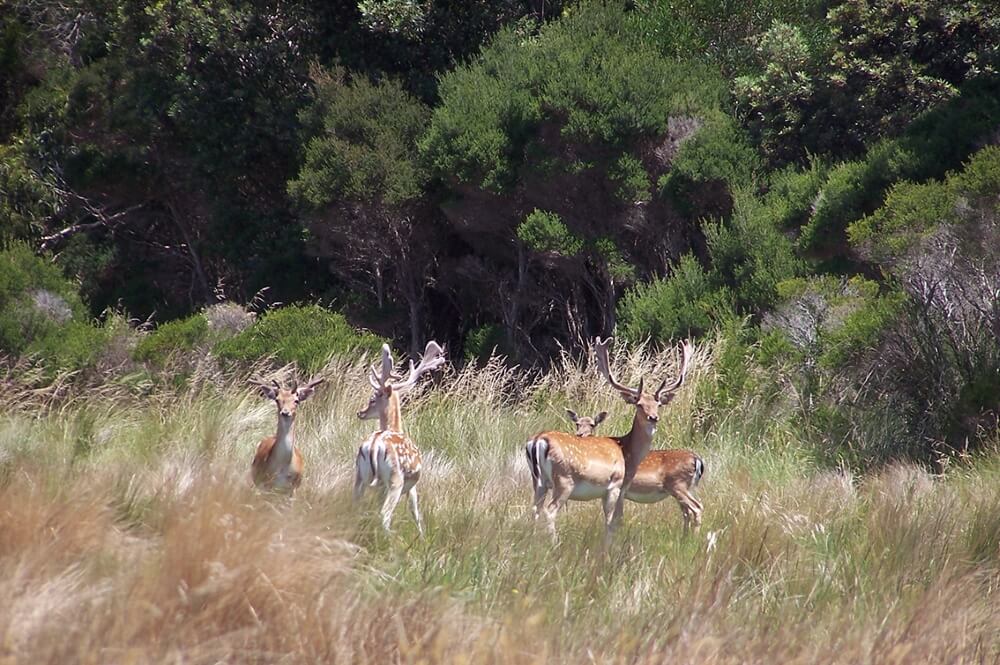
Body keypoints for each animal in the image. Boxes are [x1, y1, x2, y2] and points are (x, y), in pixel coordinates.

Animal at [354, 342, 444, 536]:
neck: (396, 427)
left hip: (360, 475)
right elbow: (415, 511)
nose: (360, 412)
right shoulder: (413, 485)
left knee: (355, 505)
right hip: (395, 480)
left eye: (372, 400)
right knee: (384, 514)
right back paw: (391, 540)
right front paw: (422, 536)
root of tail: (374, 446)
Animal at [568, 408, 708, 532]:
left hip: (678, 484)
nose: (580, 434)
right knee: (687, 512)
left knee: (696, 507)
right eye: (577, 424)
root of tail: (697, 460)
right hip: (685, 487)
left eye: (592, 424)